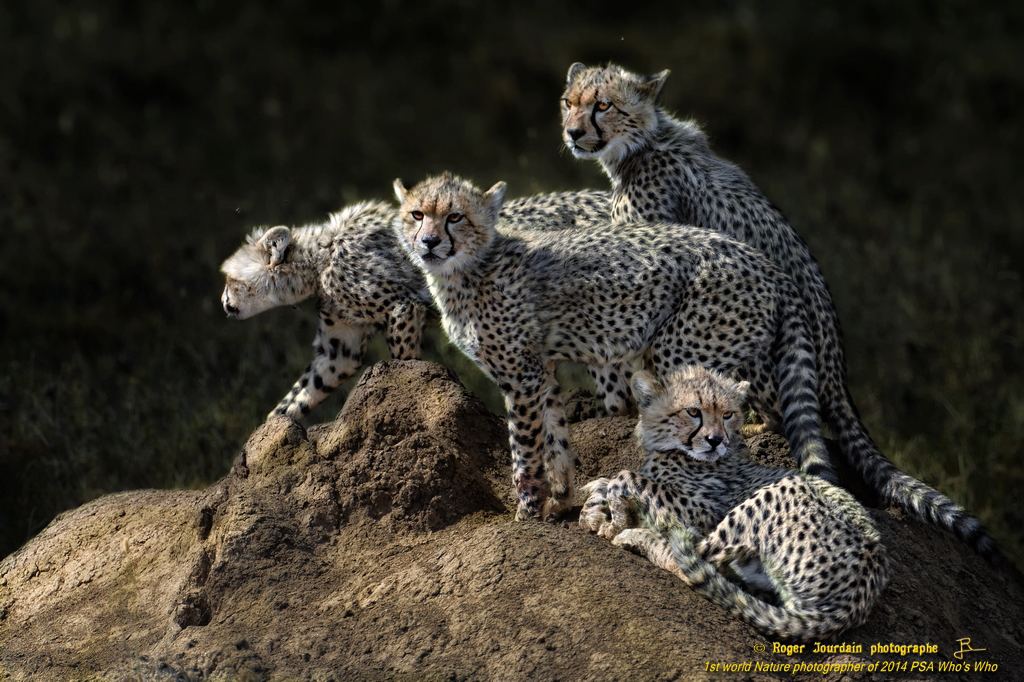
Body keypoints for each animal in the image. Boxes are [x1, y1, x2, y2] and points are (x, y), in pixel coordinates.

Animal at [219, 188, 606, 417]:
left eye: (231, 279)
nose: (223, 303)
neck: (321, 257)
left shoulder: (404, 307)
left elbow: (403, 361)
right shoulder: (340, 349)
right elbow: (299, 395)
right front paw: (265, 440)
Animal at [393, 171, 831, 520]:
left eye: (455, 217)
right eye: (417, 215)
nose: (428, 242)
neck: (467, 270)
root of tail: (764, 261)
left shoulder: (522, 378)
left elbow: (526, 451)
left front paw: (527, 511)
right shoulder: (542, 371)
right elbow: (556, 439)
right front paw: (560, 499)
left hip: (680, 349)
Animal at [561, 61, 999, 561]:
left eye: (603, 105)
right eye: (569, 102)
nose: (573, 132)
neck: (645, 142)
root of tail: (836, 366)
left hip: (711, 340)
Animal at [585, 366, 888, 638]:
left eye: (727, 414)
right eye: (693, 412)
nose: (716, 440)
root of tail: (855, 601)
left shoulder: (703, 510)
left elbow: (627, 477)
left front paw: (613, 519)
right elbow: (607, 481)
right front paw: (594, 507)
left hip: (782, 489)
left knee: (693, 556)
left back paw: (634, 536)